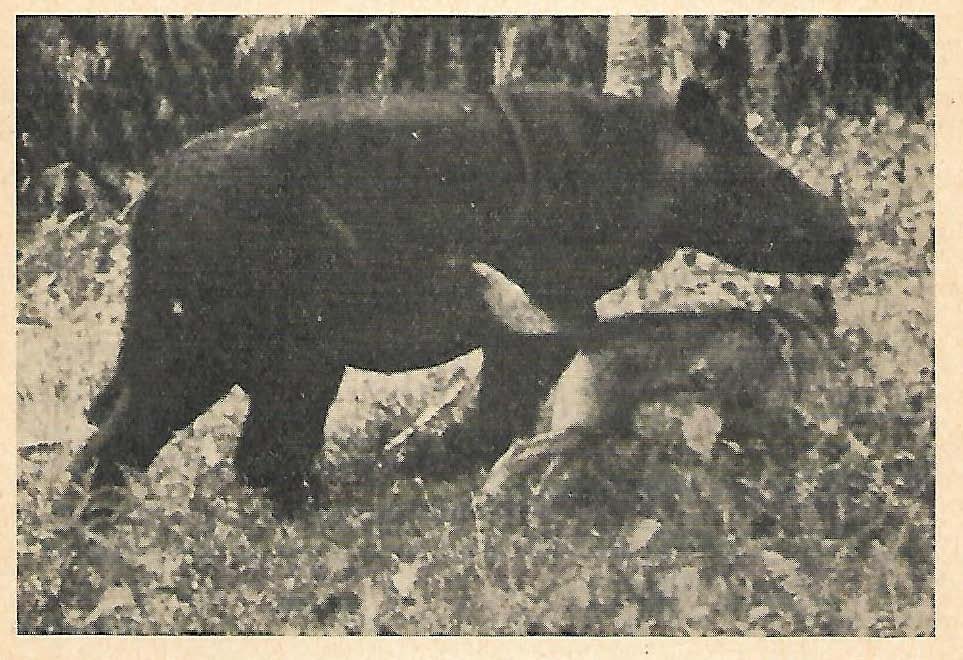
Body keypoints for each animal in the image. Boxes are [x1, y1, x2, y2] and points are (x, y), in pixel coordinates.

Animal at [73, 79, 855, 510]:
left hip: (249, 353)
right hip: (236, 347)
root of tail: (148, 204)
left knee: (187, 446)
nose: (843, 233)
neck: (637, 165)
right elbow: (504, 410)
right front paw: (444, 469)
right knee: (166, 447)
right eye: (760, 174)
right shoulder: (546, 303)